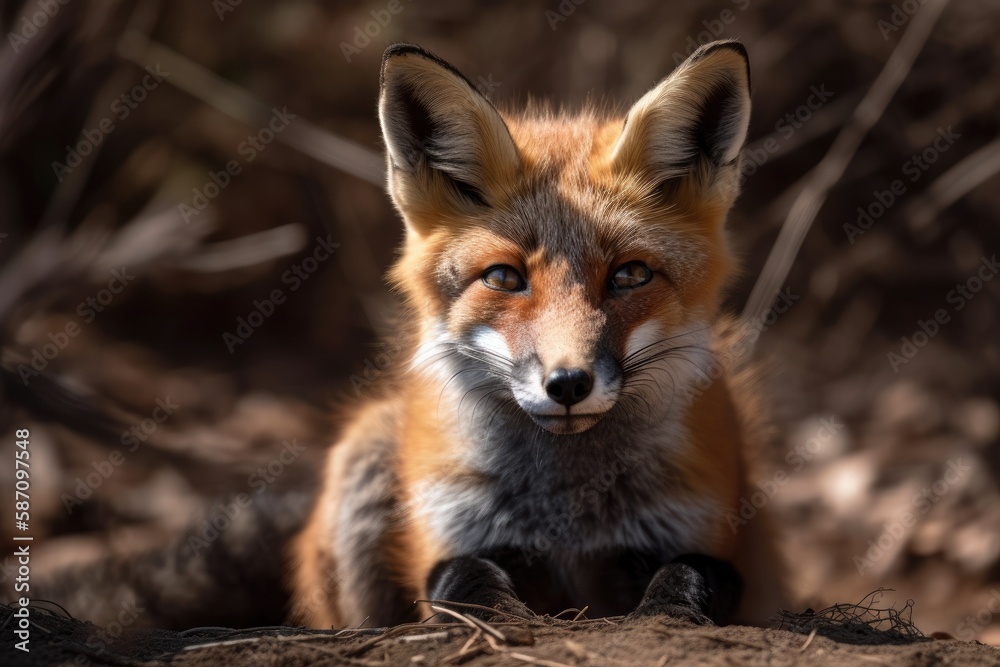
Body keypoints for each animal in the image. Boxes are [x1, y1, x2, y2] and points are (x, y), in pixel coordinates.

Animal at [291, 39, 789, 629]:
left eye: (631, 275)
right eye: (504, 278)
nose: (568, 383)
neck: (565, 510)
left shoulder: (703, 534)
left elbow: (688, 574)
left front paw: (666, 614)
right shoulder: (453, 536)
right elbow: (466, 580)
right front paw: (504, 618)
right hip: (365, 452)